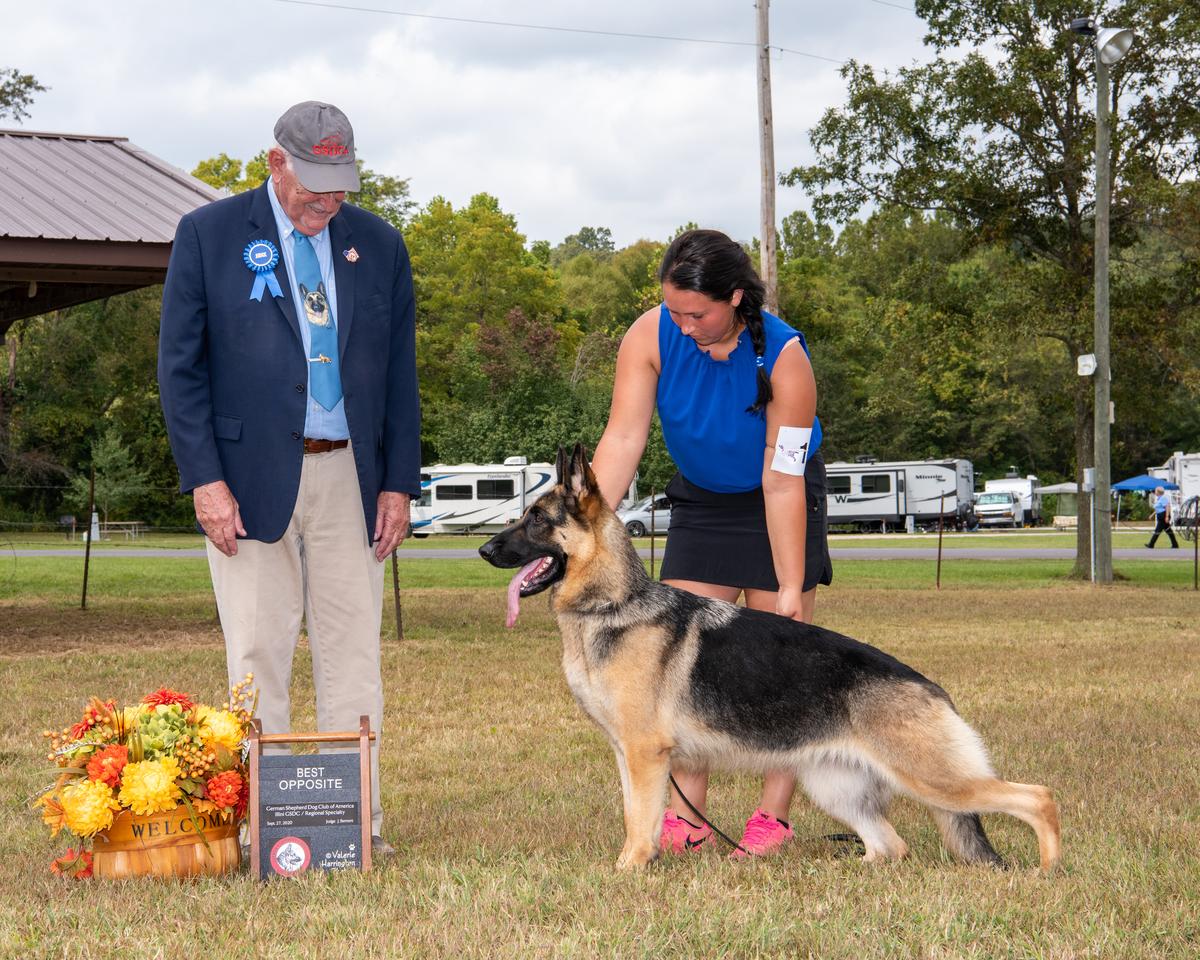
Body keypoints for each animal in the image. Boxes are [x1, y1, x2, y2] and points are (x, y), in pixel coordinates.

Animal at [479, 445, 1061, 872]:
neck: (614, 604)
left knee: (1037, 797)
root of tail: (934, 689)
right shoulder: (630, 757)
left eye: (536, 520)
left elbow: (640, 823)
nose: (484, 551)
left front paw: (628, 871)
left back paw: (1048, 868)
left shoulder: (646, 757)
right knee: (890, 846)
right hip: (837, 788)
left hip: (933, 778)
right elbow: (633, 815)